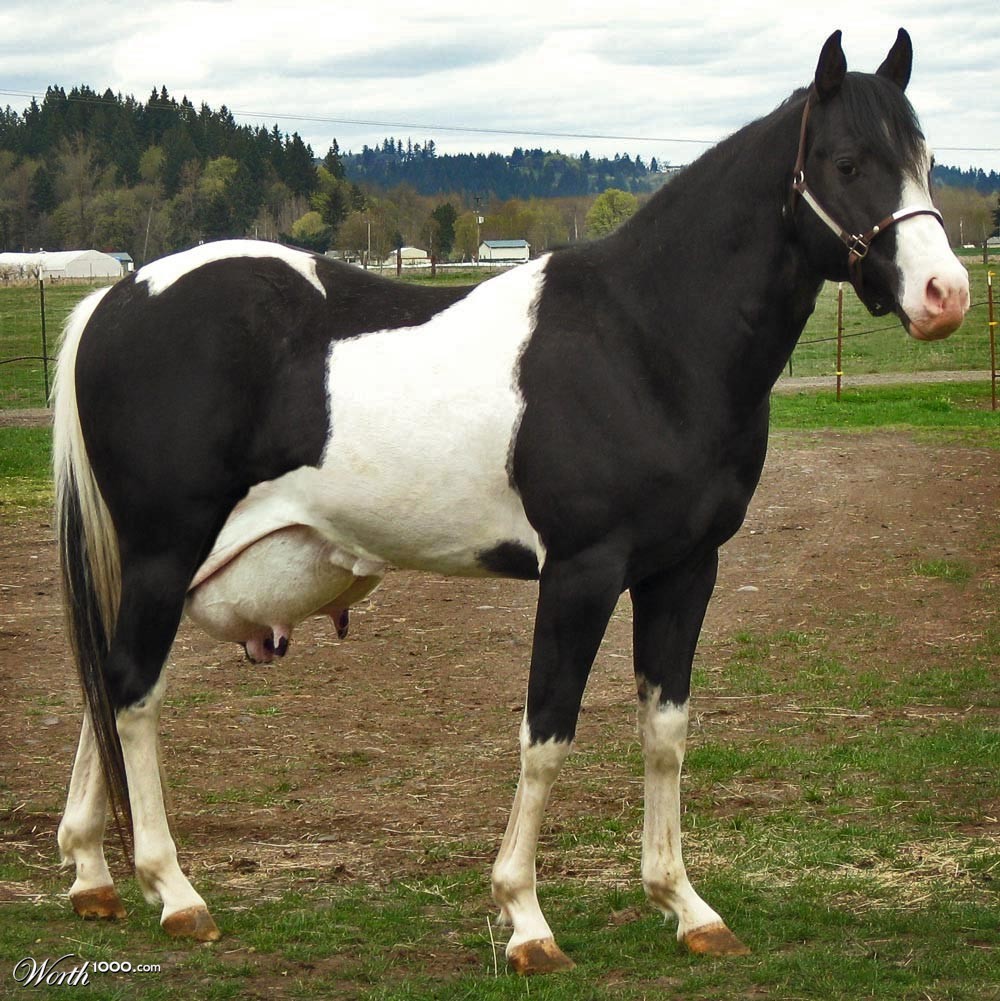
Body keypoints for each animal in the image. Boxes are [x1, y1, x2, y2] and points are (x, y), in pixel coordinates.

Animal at [52, 29, 968, 975]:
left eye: (926, 159)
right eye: (848, 161)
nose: (947, 295)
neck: (644, 337)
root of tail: (115, 296)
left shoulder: (685, 570)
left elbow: (666, 732)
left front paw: (684, 903)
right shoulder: (581, 574)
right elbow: (547, 735)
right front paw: (525, 916)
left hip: (163, 566)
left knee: (107, 683)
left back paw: (92, 873)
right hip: (164, 553)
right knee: (130, 691)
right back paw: (174, 890)